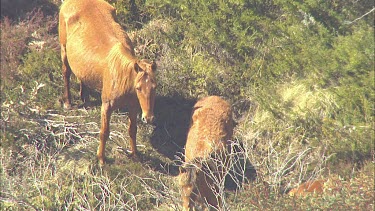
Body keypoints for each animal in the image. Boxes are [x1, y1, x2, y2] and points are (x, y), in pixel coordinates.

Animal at [59, 0, 156, 165]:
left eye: (154, 87)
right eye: (138, 88)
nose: (148, 118)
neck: (119, 71)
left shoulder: (133, 106)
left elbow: (132, 129)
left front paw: (135, 154)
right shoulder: (107, 106)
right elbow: (104, 132)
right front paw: (101, 159)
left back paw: (84, 97)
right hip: (64, 49)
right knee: (66, 73)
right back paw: (68, 103)